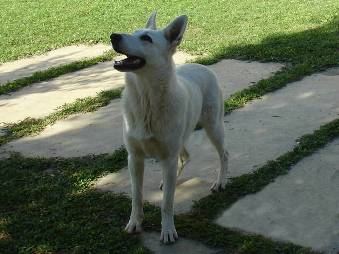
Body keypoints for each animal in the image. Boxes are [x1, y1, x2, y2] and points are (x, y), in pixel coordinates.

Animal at [110, 11, 230, 244]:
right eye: (133, 32)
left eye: (146, 38)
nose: (113, 36)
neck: (146, 99)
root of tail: (202, 66)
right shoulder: (134, 158)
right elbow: (136, 196)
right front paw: (134, 223)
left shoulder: (167, 156)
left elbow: (167, 203)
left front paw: (167, 230)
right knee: (185, 156)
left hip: (213, 127)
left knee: (224, 154)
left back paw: (220, 182)